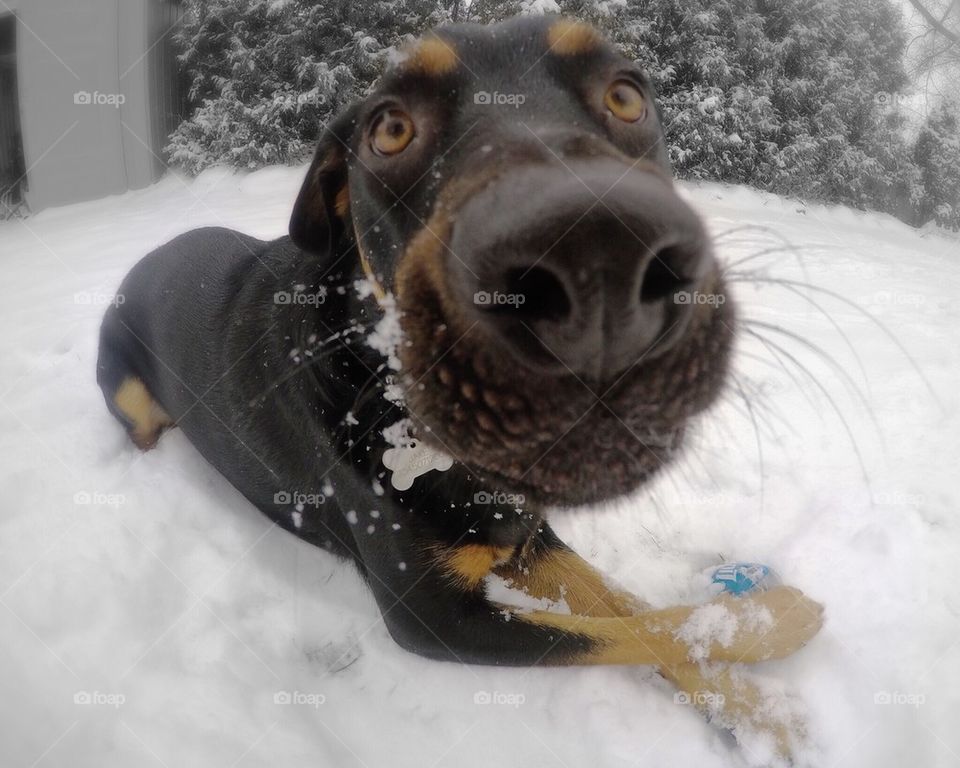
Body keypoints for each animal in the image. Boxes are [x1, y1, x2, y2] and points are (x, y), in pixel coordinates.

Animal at [99, 16, 824, 760]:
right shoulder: (429, 616)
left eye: (627, 96)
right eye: (389, 129)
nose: (595, 254)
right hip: (125, 386)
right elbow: (619, 633)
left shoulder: (527, 532)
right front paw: (774, 619)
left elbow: (630, 606)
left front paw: (755, 708)